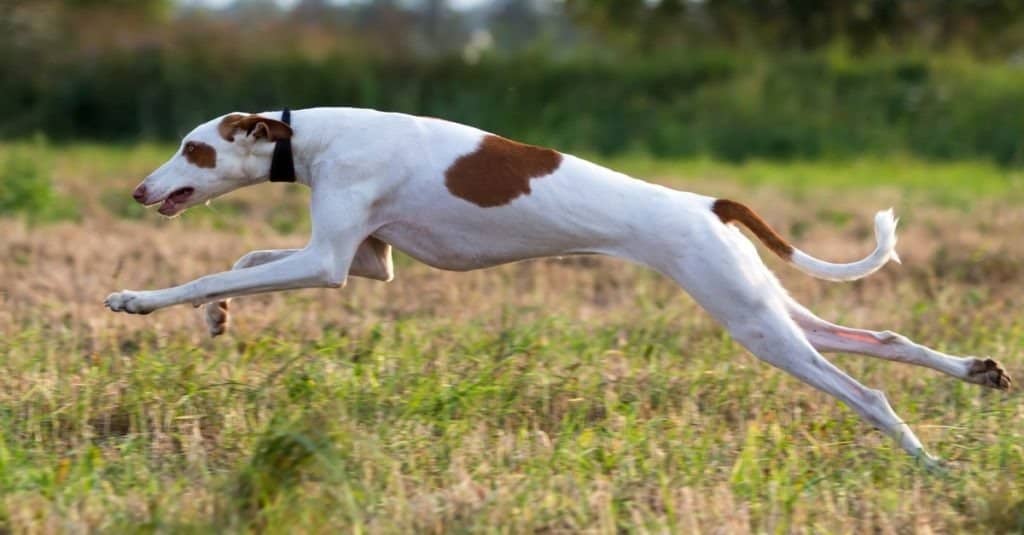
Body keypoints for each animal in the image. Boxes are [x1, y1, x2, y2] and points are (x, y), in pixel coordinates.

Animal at [105, 106, 1007, 463]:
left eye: (193, 149)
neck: (312, 134)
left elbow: (211, 267)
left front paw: (139, 301)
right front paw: (219, 316)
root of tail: (709, 203)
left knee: (866, 389)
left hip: (753, 323)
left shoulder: (330, 262)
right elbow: (242, 264)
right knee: (880, 337)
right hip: (763, 305)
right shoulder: (363, 260)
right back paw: (977, 372)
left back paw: (927, 458)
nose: (140, 191)